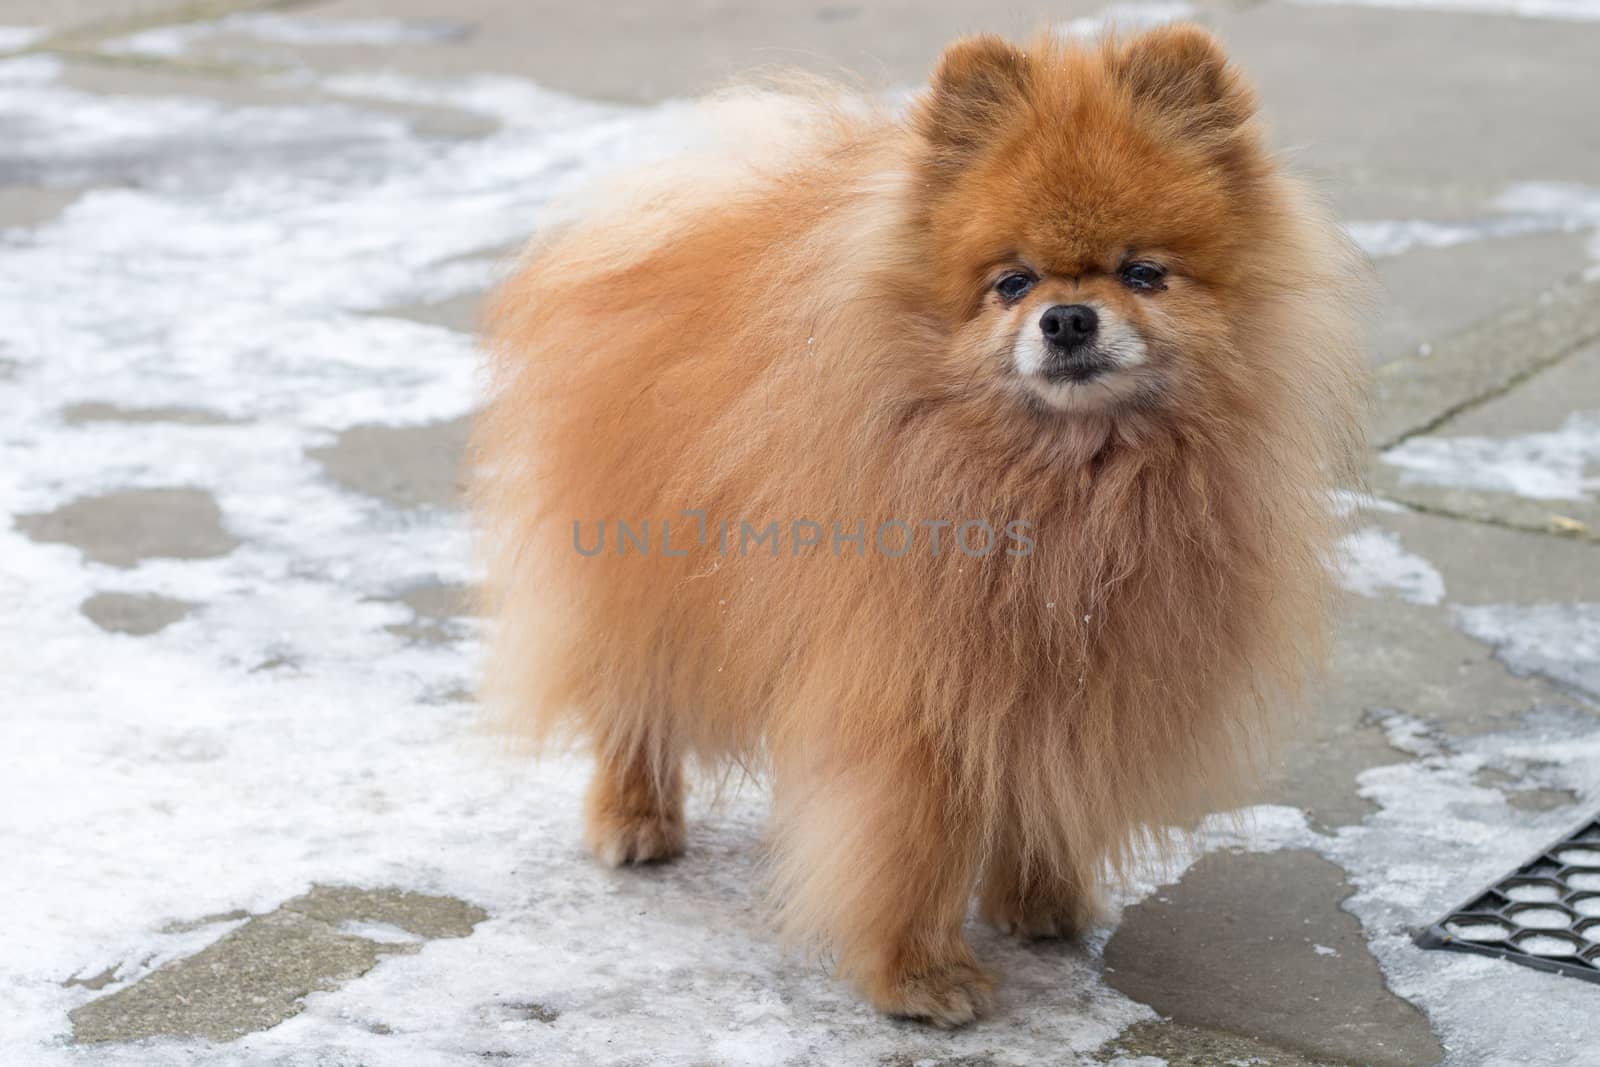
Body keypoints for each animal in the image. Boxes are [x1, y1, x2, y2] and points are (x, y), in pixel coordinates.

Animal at [473, 24, 1363, 1023]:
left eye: (1144, 274)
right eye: (1010, 282)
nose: (1066, 317)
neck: (1064, 487)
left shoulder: (1067, 672)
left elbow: (1038, 786)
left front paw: (1038, 897)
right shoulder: (914, 685)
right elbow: (914, 840)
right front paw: (919, 974)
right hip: (645, 579)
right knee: (635, 701)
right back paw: (634, 817)